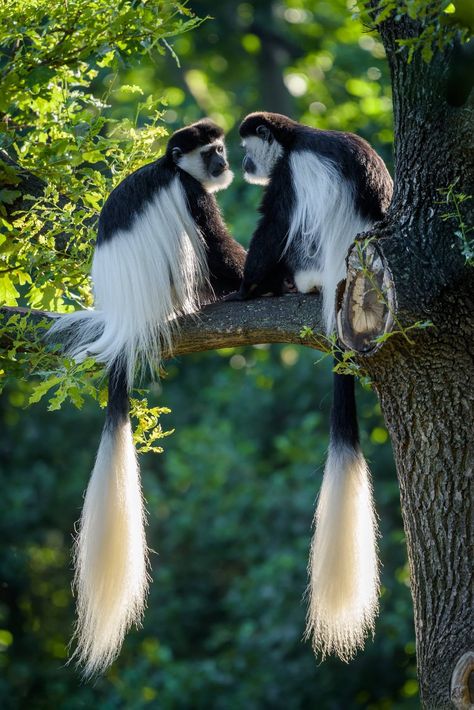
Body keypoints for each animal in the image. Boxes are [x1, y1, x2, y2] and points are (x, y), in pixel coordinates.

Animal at [50, 118, 246, 680]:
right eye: (213, 152)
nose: (224, 164)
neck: (172, 167)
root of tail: (124, 321)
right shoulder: (192, 193)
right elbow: (218, 242)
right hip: (176, 282)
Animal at [235, 111, 394, 660]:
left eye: (247, 148)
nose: (243, 165)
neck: (295, 137)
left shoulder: (290, 177)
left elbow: (274, 225)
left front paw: (244, 287)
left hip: (309, 262)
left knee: (292, 241)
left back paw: (273, 286)